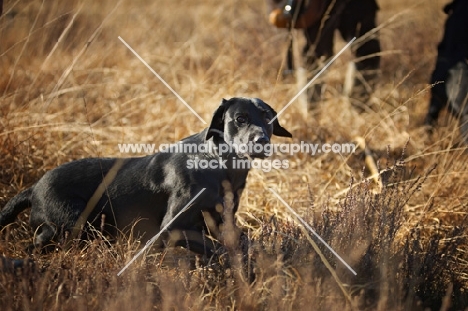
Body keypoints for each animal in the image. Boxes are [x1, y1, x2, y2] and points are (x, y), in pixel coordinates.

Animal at [0, 98, 292, 258]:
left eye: (268, 117)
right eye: (240, 118)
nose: (261, 141)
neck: (218, 161)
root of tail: (33, 188)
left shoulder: (223, 222)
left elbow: (235, 244)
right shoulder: (170, 229)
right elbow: (218, 250)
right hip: (75, 226)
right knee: (38, 243)